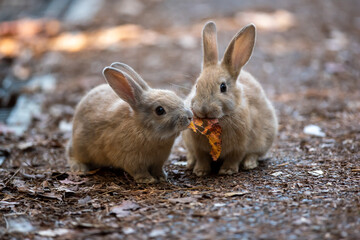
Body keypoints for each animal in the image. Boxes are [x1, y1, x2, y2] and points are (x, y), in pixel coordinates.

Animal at [183, 21, 278, 176]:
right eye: (196, 85)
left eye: (223, 87)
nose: (203, 109)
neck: (219, 121)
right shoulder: (198, 147)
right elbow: (201, 157)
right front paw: (200, 171)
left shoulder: (240, 145)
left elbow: (234, 157)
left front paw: (227, 170)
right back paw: (190, 164)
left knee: (254, 154)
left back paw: (249, 164)